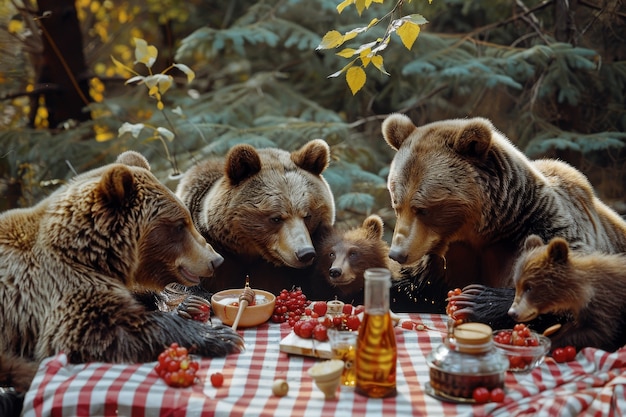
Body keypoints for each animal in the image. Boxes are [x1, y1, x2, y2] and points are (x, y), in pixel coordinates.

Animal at [378, 113, 624, 332]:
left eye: (423, 209)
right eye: (396, 204)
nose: (397, 253)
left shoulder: (541, 227)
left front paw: (476, 299)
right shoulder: (442, 259)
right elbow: (409, 283)